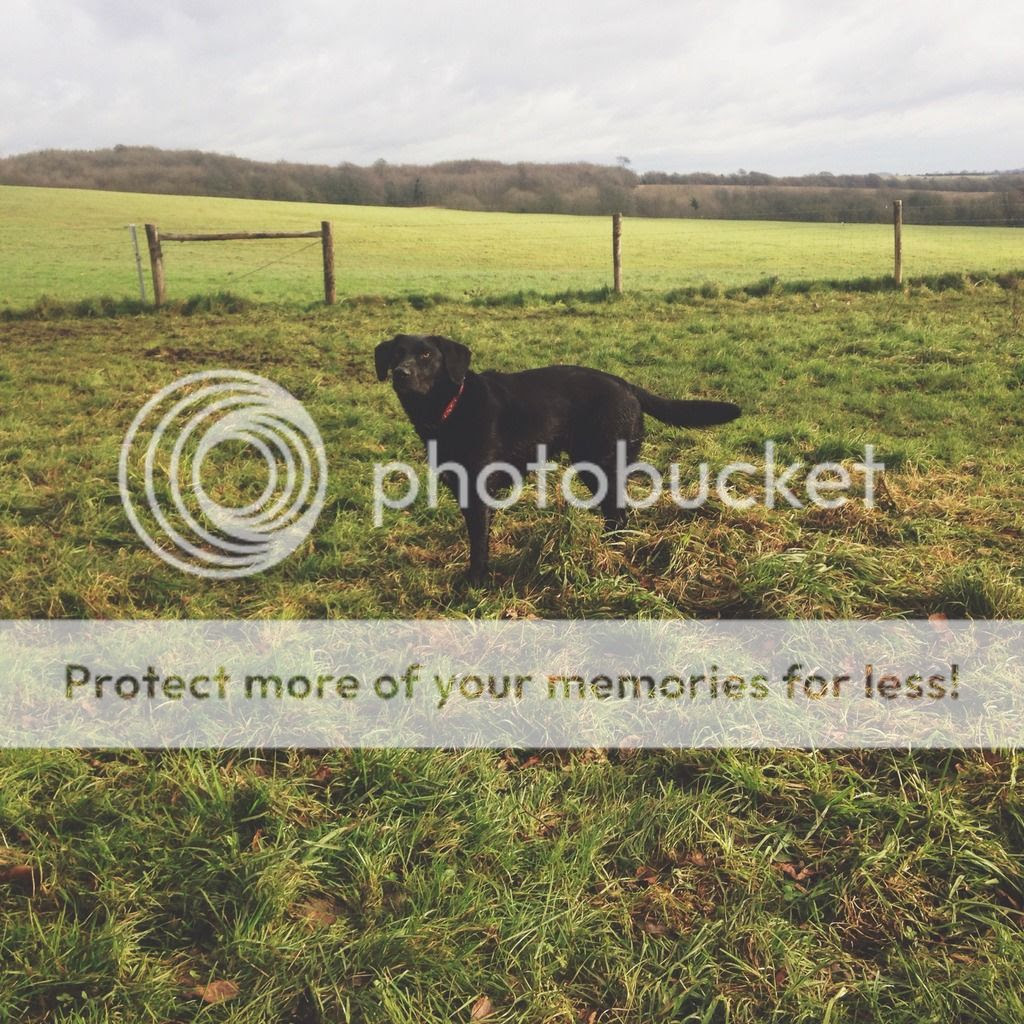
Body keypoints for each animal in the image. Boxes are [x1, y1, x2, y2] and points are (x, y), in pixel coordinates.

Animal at [374, 333, 740, 583]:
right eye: (396, 355)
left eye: (426, 355)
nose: (400, 373)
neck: (451, 407)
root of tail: (627, 385)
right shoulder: (462, 490)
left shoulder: (478, 494)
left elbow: (478, 542)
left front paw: (474, 582)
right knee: (616, 515)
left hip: (600, 463)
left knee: (619, 515)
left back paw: (609, 554)